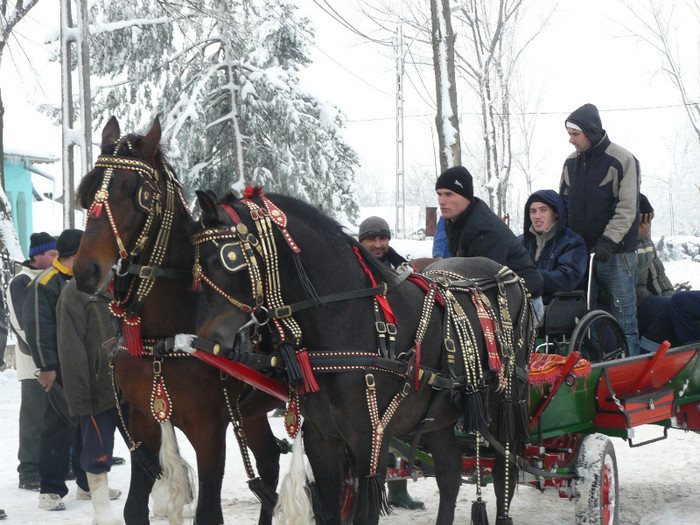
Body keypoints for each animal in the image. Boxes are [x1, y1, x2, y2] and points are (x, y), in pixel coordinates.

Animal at [75, 118, 284, 524]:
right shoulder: (143, 419)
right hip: (252, 410)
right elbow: (134, 508)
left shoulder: (209, 428)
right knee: (269, 461)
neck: (166, 335)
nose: (85, 271)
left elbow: (208, 512)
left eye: (135, 192)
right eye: (88, 190)